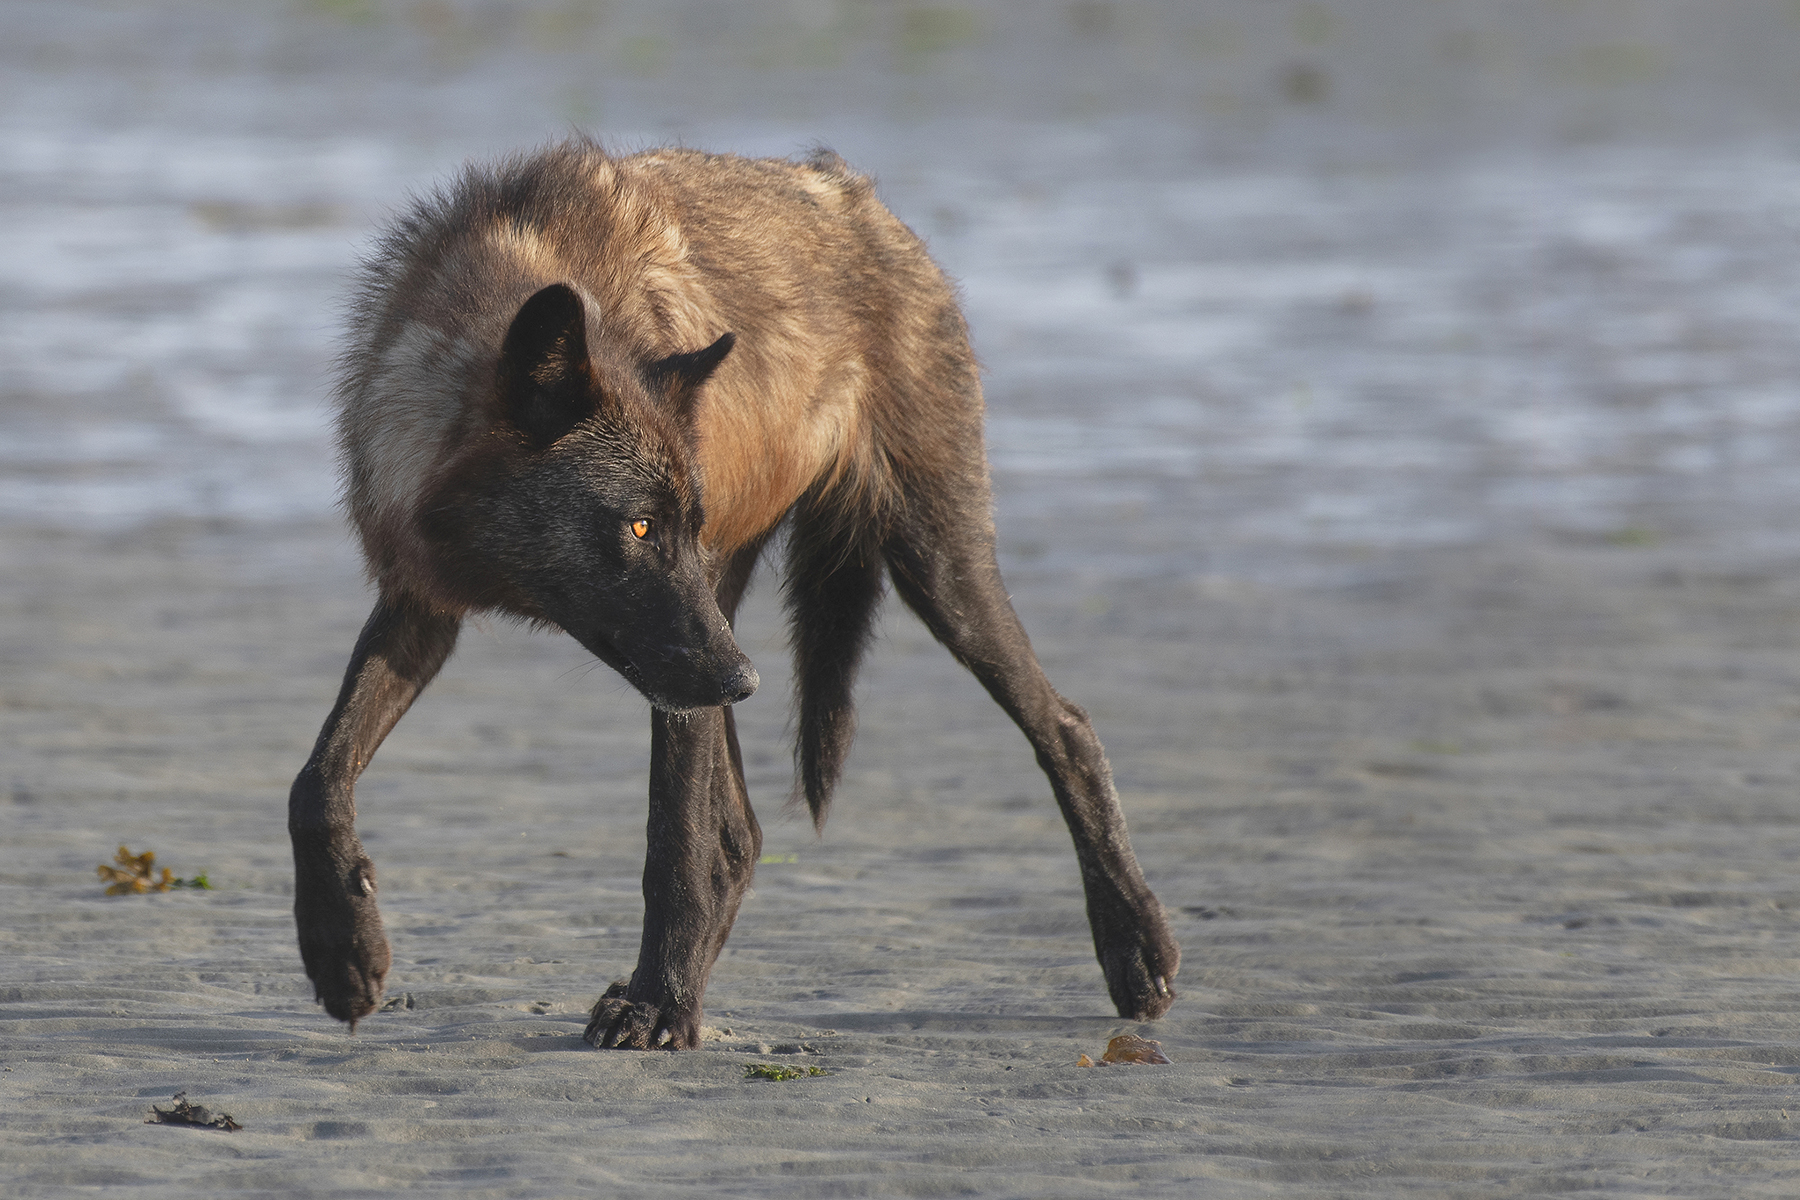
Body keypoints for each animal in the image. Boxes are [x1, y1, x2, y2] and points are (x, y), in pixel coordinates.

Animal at [288, 141, 1180, 1043]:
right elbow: (315, 782)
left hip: (928, 574)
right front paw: (343, 953)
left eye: (684, 525)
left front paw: (657, 1004)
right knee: (742, 833)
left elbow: (672, 845)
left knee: (1066, 726)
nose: (746, 682)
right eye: (641, 528)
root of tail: (863, 199)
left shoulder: (688, 652)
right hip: (740, 622)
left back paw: (1135, 945)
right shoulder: (420, 610)